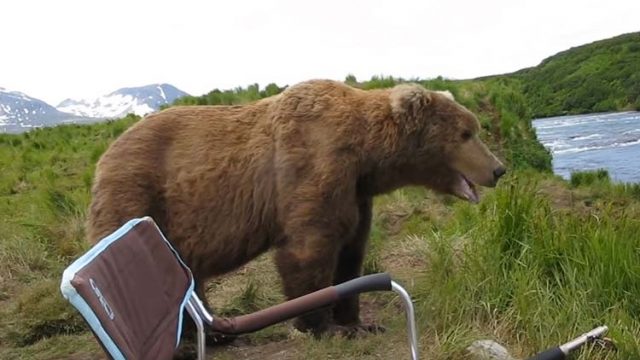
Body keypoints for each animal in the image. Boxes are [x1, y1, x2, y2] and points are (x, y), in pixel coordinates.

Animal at [86, 79, 504, 344]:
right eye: (466, 133)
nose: (498, 169)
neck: (366, 154)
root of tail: (105, 153)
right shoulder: (312, 165)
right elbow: (309, 249)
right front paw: (324, 326)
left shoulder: (357, 193)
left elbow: (351, 252)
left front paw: (358, 322)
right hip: (138, 194)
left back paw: (212, 332)